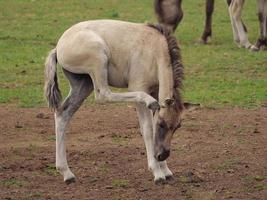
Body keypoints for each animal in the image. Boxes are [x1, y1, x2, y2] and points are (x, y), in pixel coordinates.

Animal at [45, 19, 185, 184]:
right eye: (162, 124)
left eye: (177, 126)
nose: (163, 155)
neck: (155, 50)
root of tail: (58, 47)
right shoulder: (140, 87)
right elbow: (147, 129)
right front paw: (157, 172)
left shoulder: (155, 91)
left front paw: (165, 170)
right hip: (99, 58)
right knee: (103, 95)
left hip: (83, 83)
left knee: (63, 114)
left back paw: (66, 173)